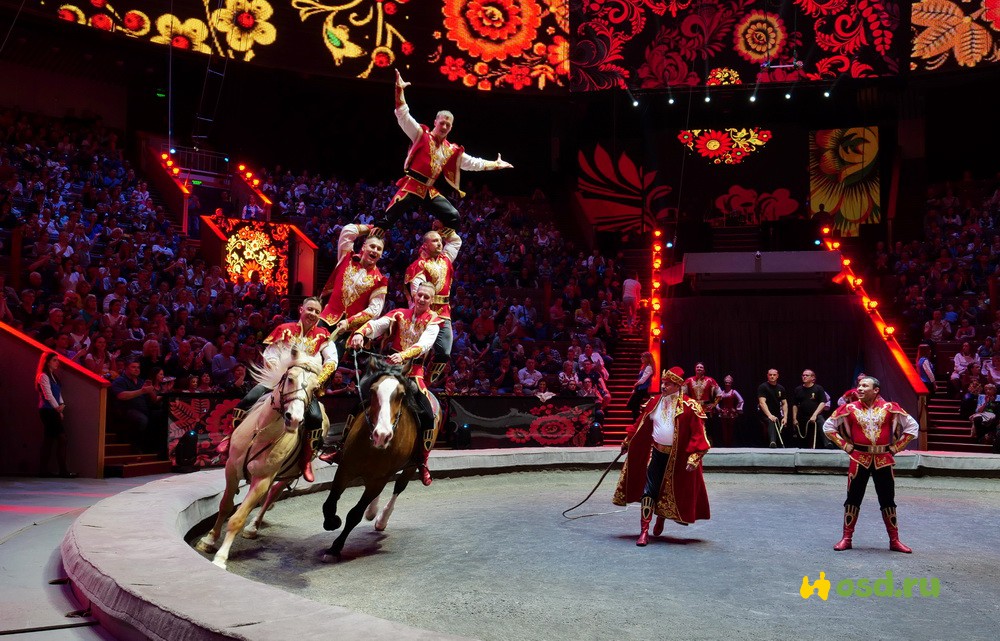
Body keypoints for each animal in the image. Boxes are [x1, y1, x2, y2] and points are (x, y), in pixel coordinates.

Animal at [198, 348, 328, 568]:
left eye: (314, 387)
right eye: (290, 378)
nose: (294, 419)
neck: (261, 433)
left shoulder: (262, 479)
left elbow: (238, 517)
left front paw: (221, 556)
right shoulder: (231, 470)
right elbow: (225, 506)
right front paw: (209, 540)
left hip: (289, 474)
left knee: (272, 495)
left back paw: (253, 526)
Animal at [320, 360, 438, 560]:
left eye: (401, 394)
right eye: (373, 390)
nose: (382, 435)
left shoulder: (379, 479)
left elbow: (355, 514)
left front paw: (336, 547)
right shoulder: (345, 468)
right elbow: (329, 503)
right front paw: (332, 522)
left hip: (410, 467)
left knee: (398, 487)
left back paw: (382, 519)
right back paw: (372, 511)